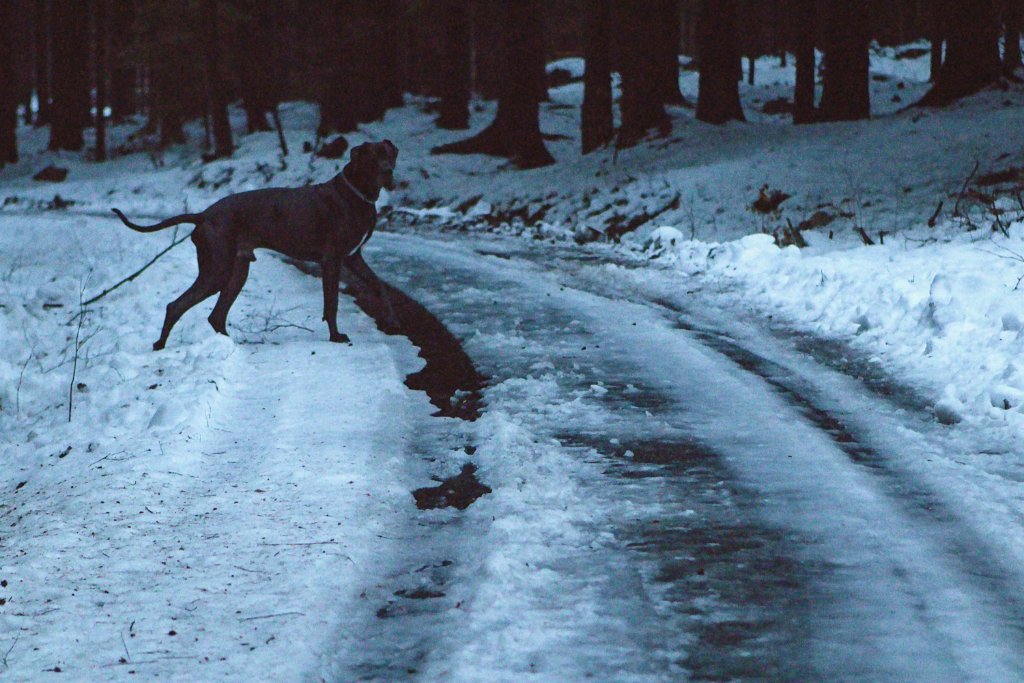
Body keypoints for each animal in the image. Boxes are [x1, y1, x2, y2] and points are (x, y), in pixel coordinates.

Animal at [113, 141, 399, 350]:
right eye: (372, 159)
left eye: (389, 155)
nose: (388, 172)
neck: (356, 194)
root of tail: (204, 214)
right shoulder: (332, 261)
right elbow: (332, 304)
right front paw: (336, 336)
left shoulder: (354, 257)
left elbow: (379, 287)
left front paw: (391, 319)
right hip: (217, 271)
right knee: (176, 305)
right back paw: (161, 345)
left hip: (237, 271)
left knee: (215, 315)